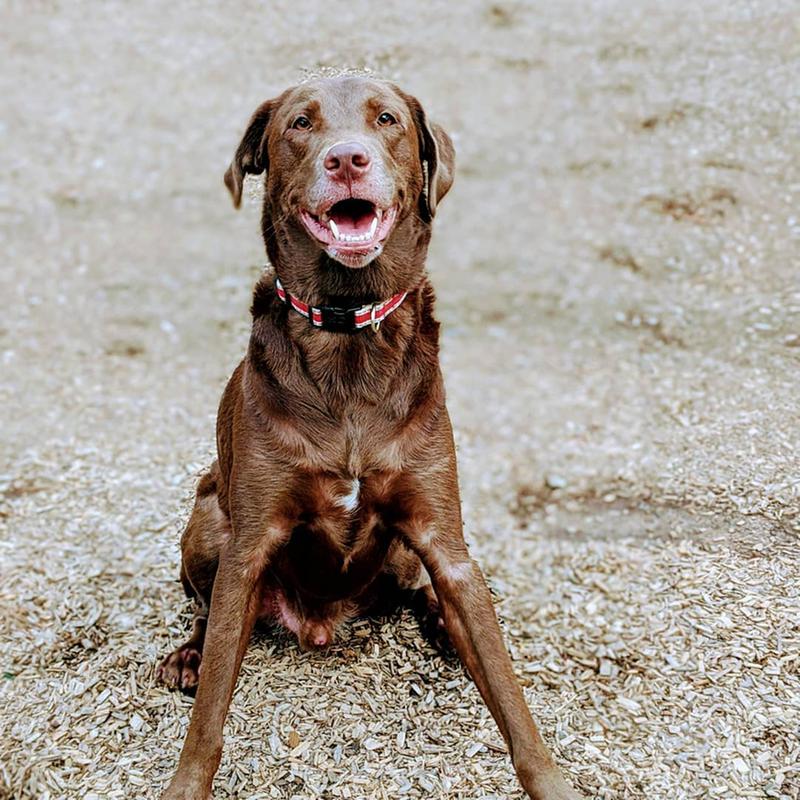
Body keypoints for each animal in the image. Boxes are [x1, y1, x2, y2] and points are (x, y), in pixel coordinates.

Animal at [156, 76, 580, 800]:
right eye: (300, 124)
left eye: (386, 120)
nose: (347, 159)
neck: (348, 334)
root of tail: (321, 625)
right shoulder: (249, 545)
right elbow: (211, 710)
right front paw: (187, 778)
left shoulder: (441, 534)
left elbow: (511, 699)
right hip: (208, 514)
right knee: (207, 615)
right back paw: (187, 655)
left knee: (420, 591)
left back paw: (438, 620)